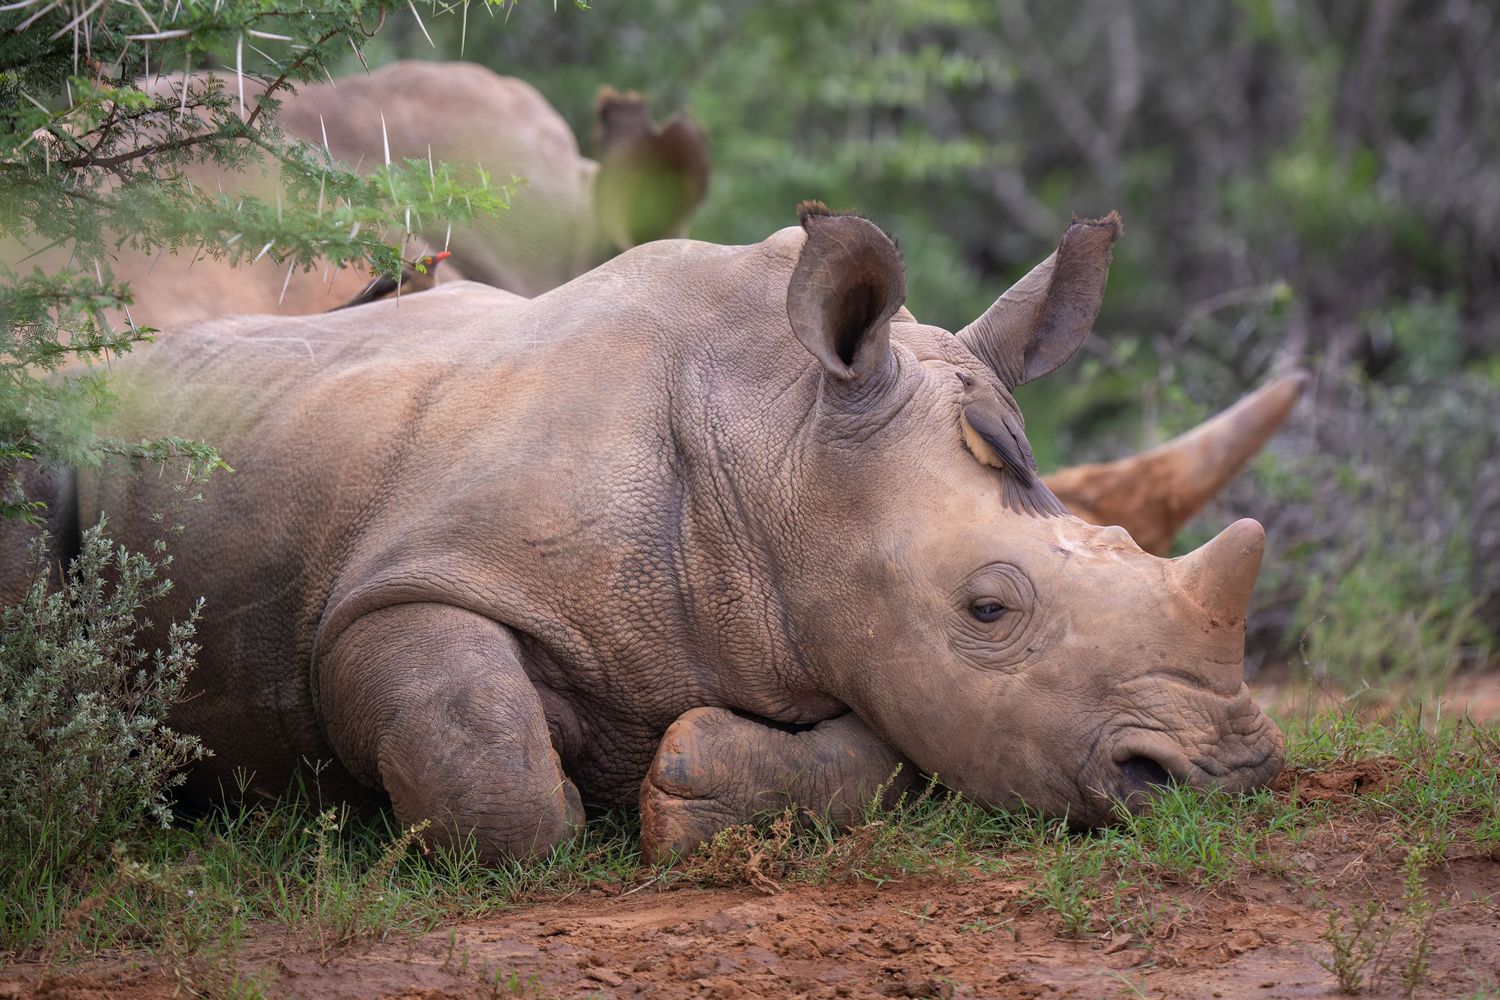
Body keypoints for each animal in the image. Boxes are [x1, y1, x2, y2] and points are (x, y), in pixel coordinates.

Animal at [0, 206, 1284, 863]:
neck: (778, 442)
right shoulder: (396, 589)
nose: (1228, 776)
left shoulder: (857, 644)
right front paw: (572, 810)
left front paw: (680, 792)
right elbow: (493, 772)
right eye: (989, 609)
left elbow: (878, 758)